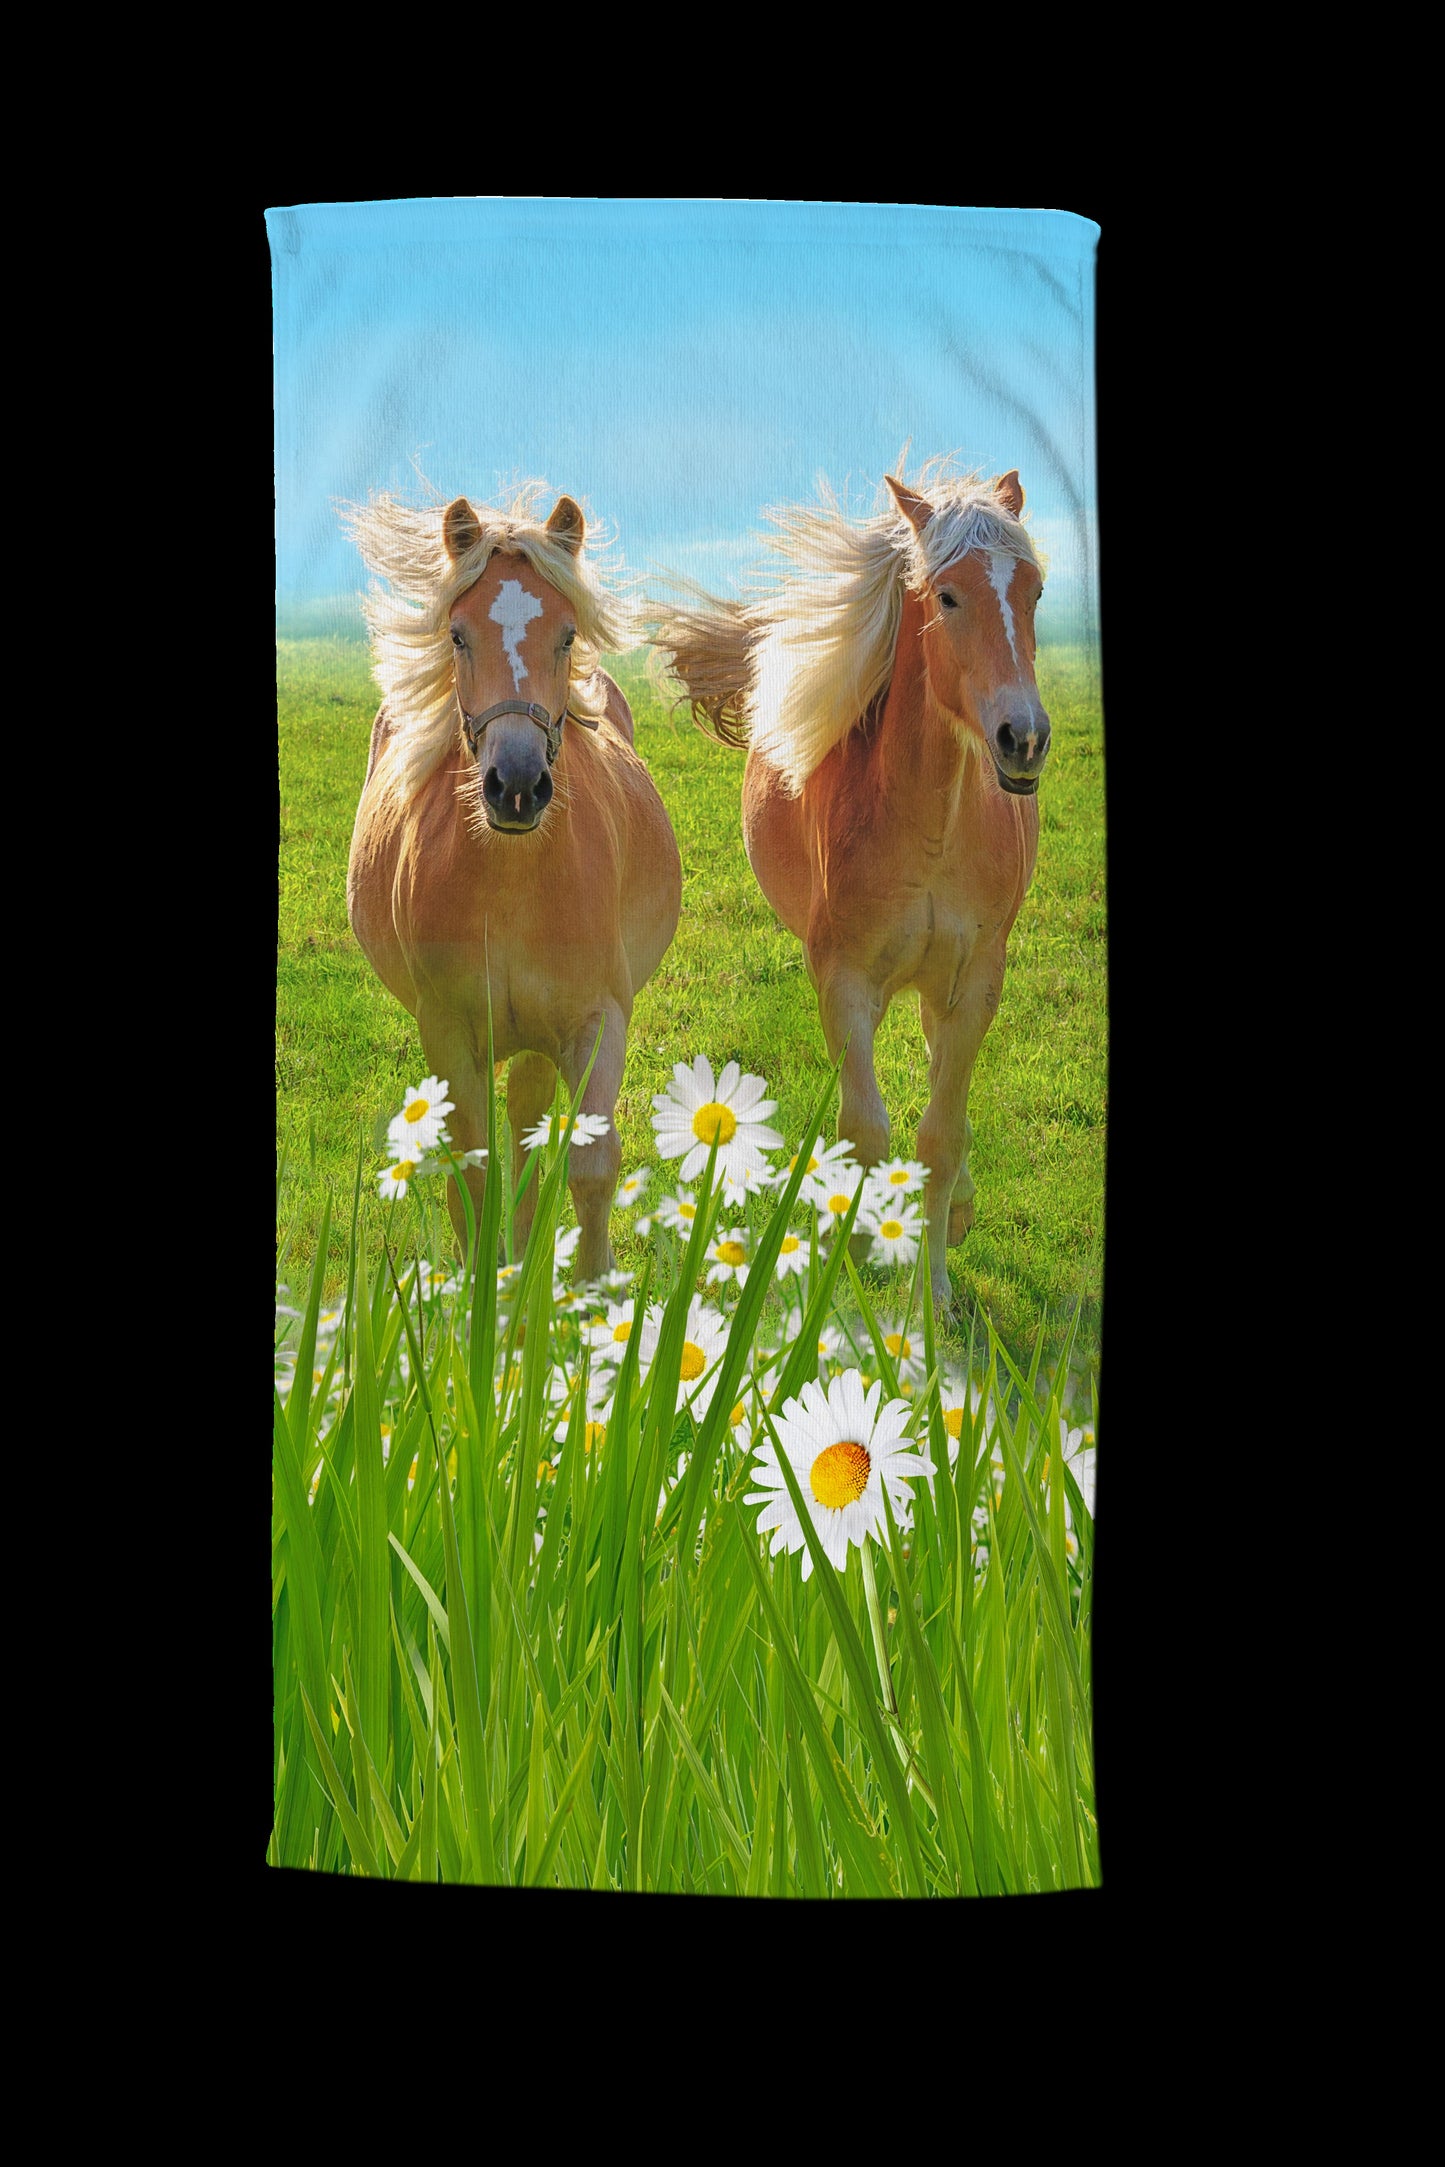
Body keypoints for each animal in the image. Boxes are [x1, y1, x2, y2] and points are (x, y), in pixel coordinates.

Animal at [345, 483, 682, 1282]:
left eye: (565, 635)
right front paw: (478, 1293)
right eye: (458, 635)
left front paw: (593, 1292)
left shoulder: (597, 1021)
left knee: (530, 1126)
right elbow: (469, 1170)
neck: (511, 883)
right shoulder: (446, 1031)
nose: (517, 785)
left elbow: (590, 1165)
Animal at [650, 461, 1049, 1315]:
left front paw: (933, 1292)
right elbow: (865, 1131)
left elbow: (940, 1133)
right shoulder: (842, 981)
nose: (1023, 738)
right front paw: (856, 1273)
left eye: (1034, 590)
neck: (927, 828)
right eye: (947, 596)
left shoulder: (977, 981)